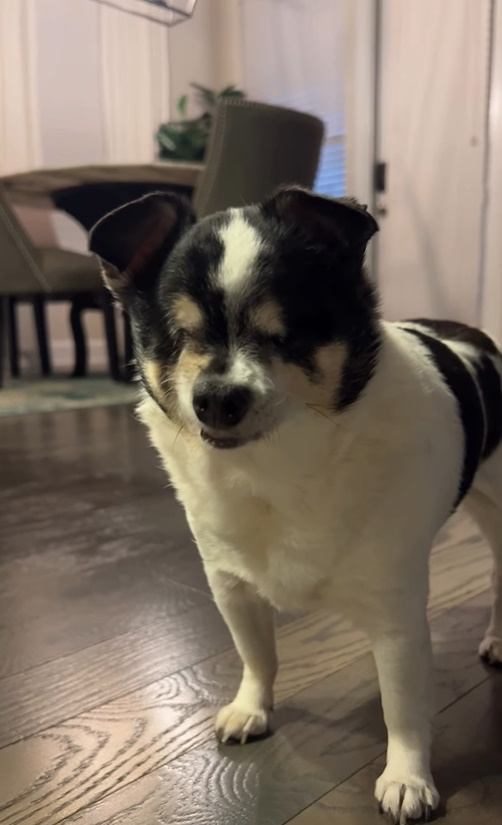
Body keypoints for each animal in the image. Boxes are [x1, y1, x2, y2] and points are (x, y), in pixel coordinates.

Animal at [90, 188, 502, 824]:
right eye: (178, 338)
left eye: (284, 337)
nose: (216, 398)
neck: (275, 463)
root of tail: (472, 336)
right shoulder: (231, 588)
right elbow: (257, 654)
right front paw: (252, 707)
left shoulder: (399, 617)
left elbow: (404, 707)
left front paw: (407, 776)